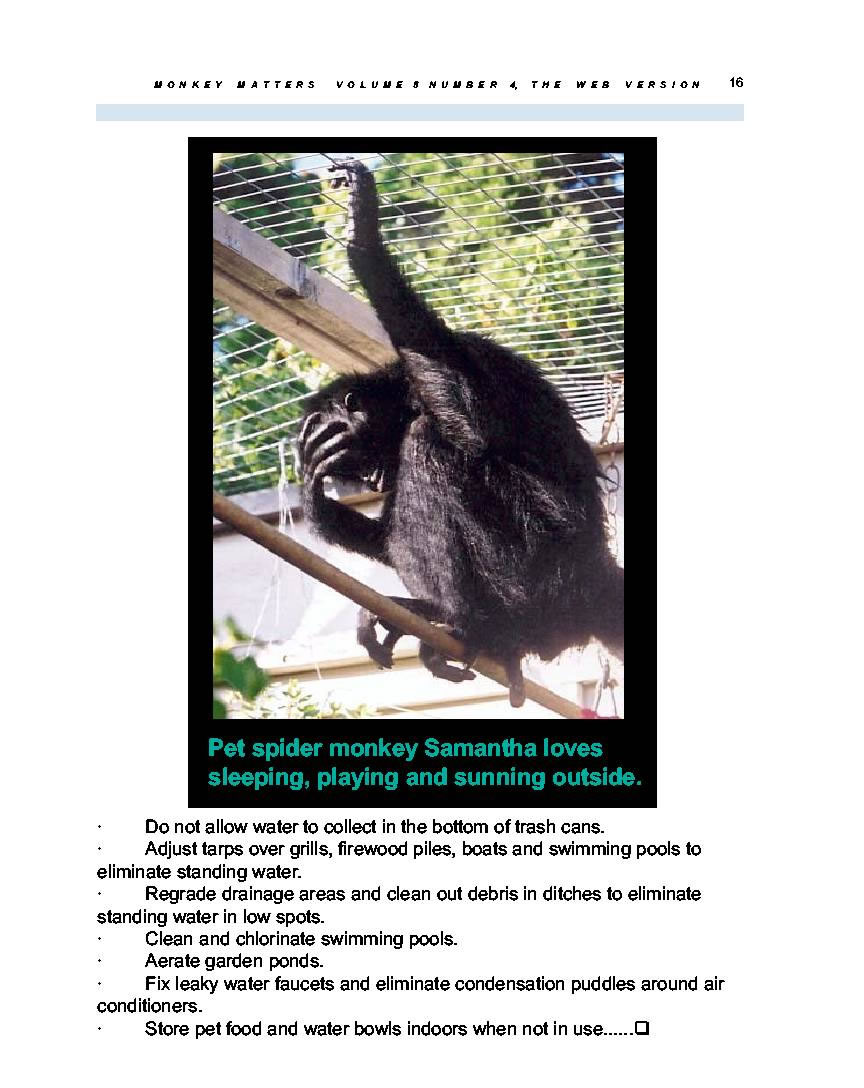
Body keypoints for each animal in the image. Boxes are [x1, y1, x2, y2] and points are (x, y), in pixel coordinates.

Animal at [297, 160, 623, 707]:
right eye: (365, 473)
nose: (374, 480)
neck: (405, 392)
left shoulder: (470, 359)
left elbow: (469, 432)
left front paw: (363, 236)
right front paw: (315, 505)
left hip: (534, 571)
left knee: (429, 444)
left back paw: (465, 621)